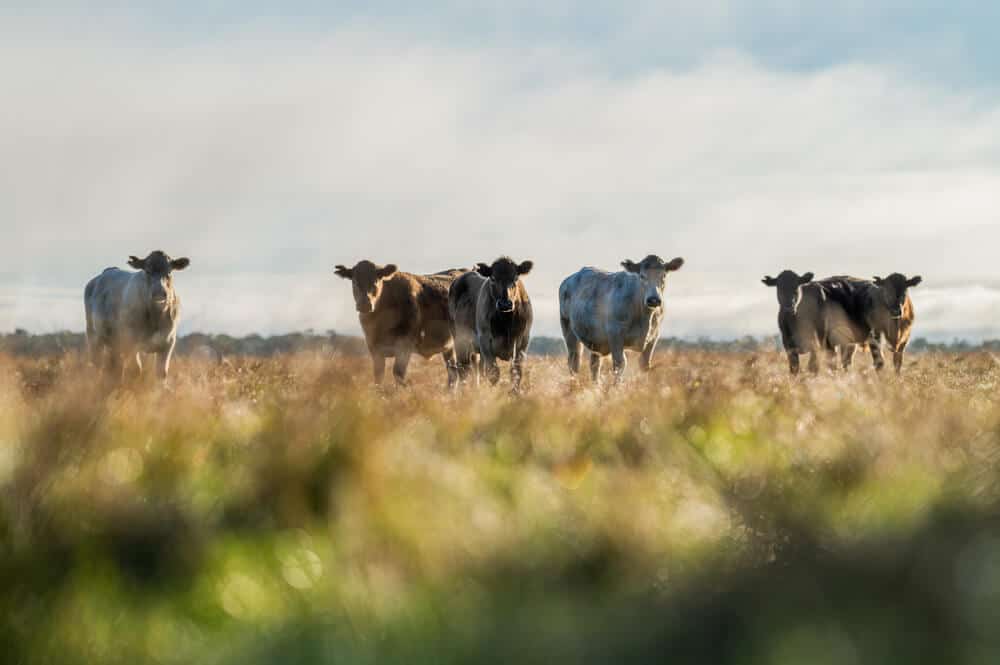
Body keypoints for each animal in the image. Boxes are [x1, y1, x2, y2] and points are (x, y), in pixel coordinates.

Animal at [84, 250, 190, 382]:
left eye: (169, 271)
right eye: (147, 271)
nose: (159, 293)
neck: (155, 317)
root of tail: (108, 271)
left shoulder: (168, 343)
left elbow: (162, 373)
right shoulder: (131, 342)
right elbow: (136, 370)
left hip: (114, 344)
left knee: (115, 367)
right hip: (94, 337)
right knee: (98, 365)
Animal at [334, 260, 466, 386]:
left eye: (376, 280)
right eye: (354, 281)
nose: (365, 304)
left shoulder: (404, 346)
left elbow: (398, 374)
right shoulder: (374, 348)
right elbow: (378, 377)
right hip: (449, 348)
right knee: (453, 373)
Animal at [448, 257, 533, 392]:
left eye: (515, 278)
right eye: (493, 278)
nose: (505, 304)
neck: (506, 322)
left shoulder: (523, 341)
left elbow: (516, 373)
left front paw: (514, 393)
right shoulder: (485, 341)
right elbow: (493, 373)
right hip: (460, 341)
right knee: (463, 370)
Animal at [559, 255, 684, 384]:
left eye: (664, 275)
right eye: (641, 276)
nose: (653, 299)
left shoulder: (654, 337)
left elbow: (645, 364)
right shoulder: (615, 335)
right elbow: (620, 364)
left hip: (595, 339)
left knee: (594, 365)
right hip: (568, 330)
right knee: (574, 362)